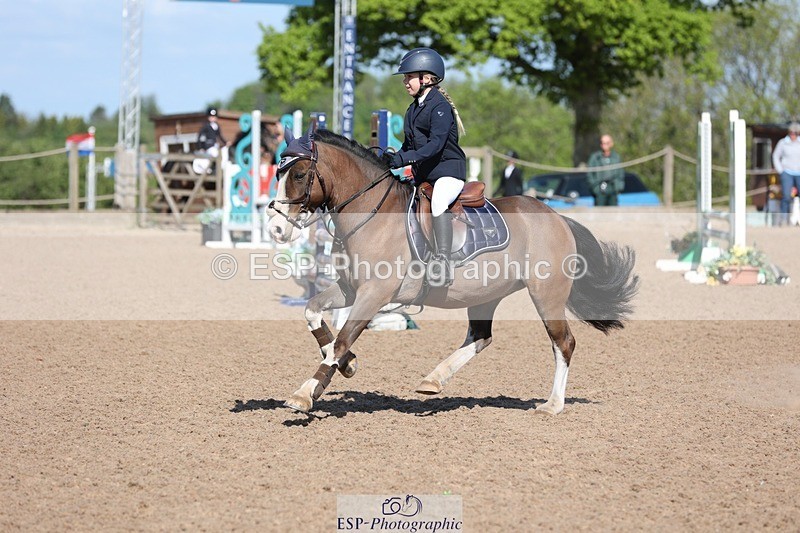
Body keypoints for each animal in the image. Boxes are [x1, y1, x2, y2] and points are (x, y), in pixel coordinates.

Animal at [266, 128, 639, 415]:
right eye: (278, 174)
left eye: (298, 175)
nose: (276, 230)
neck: (370, 214)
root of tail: (558, 217)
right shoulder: (350, 288)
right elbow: (313, 313)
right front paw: (347, 364)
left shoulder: (374, 294)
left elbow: (343, 338)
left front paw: (305, 393)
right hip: (486, 295)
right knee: (481, 337)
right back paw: (433, 379)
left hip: (546, 295)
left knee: (563, 342)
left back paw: (552, 405)